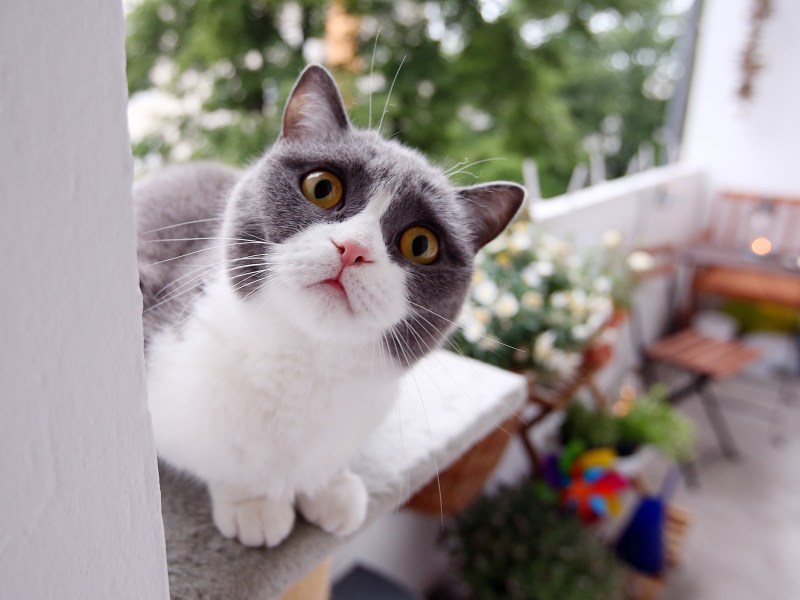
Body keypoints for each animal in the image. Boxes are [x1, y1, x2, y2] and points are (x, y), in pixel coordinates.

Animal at [136, 65, 524, 548]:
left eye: (421, 244)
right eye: (322, 187)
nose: (353, 248)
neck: (305, 362)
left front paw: (330, 488)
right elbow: (219, 460)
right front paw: (252, 503)